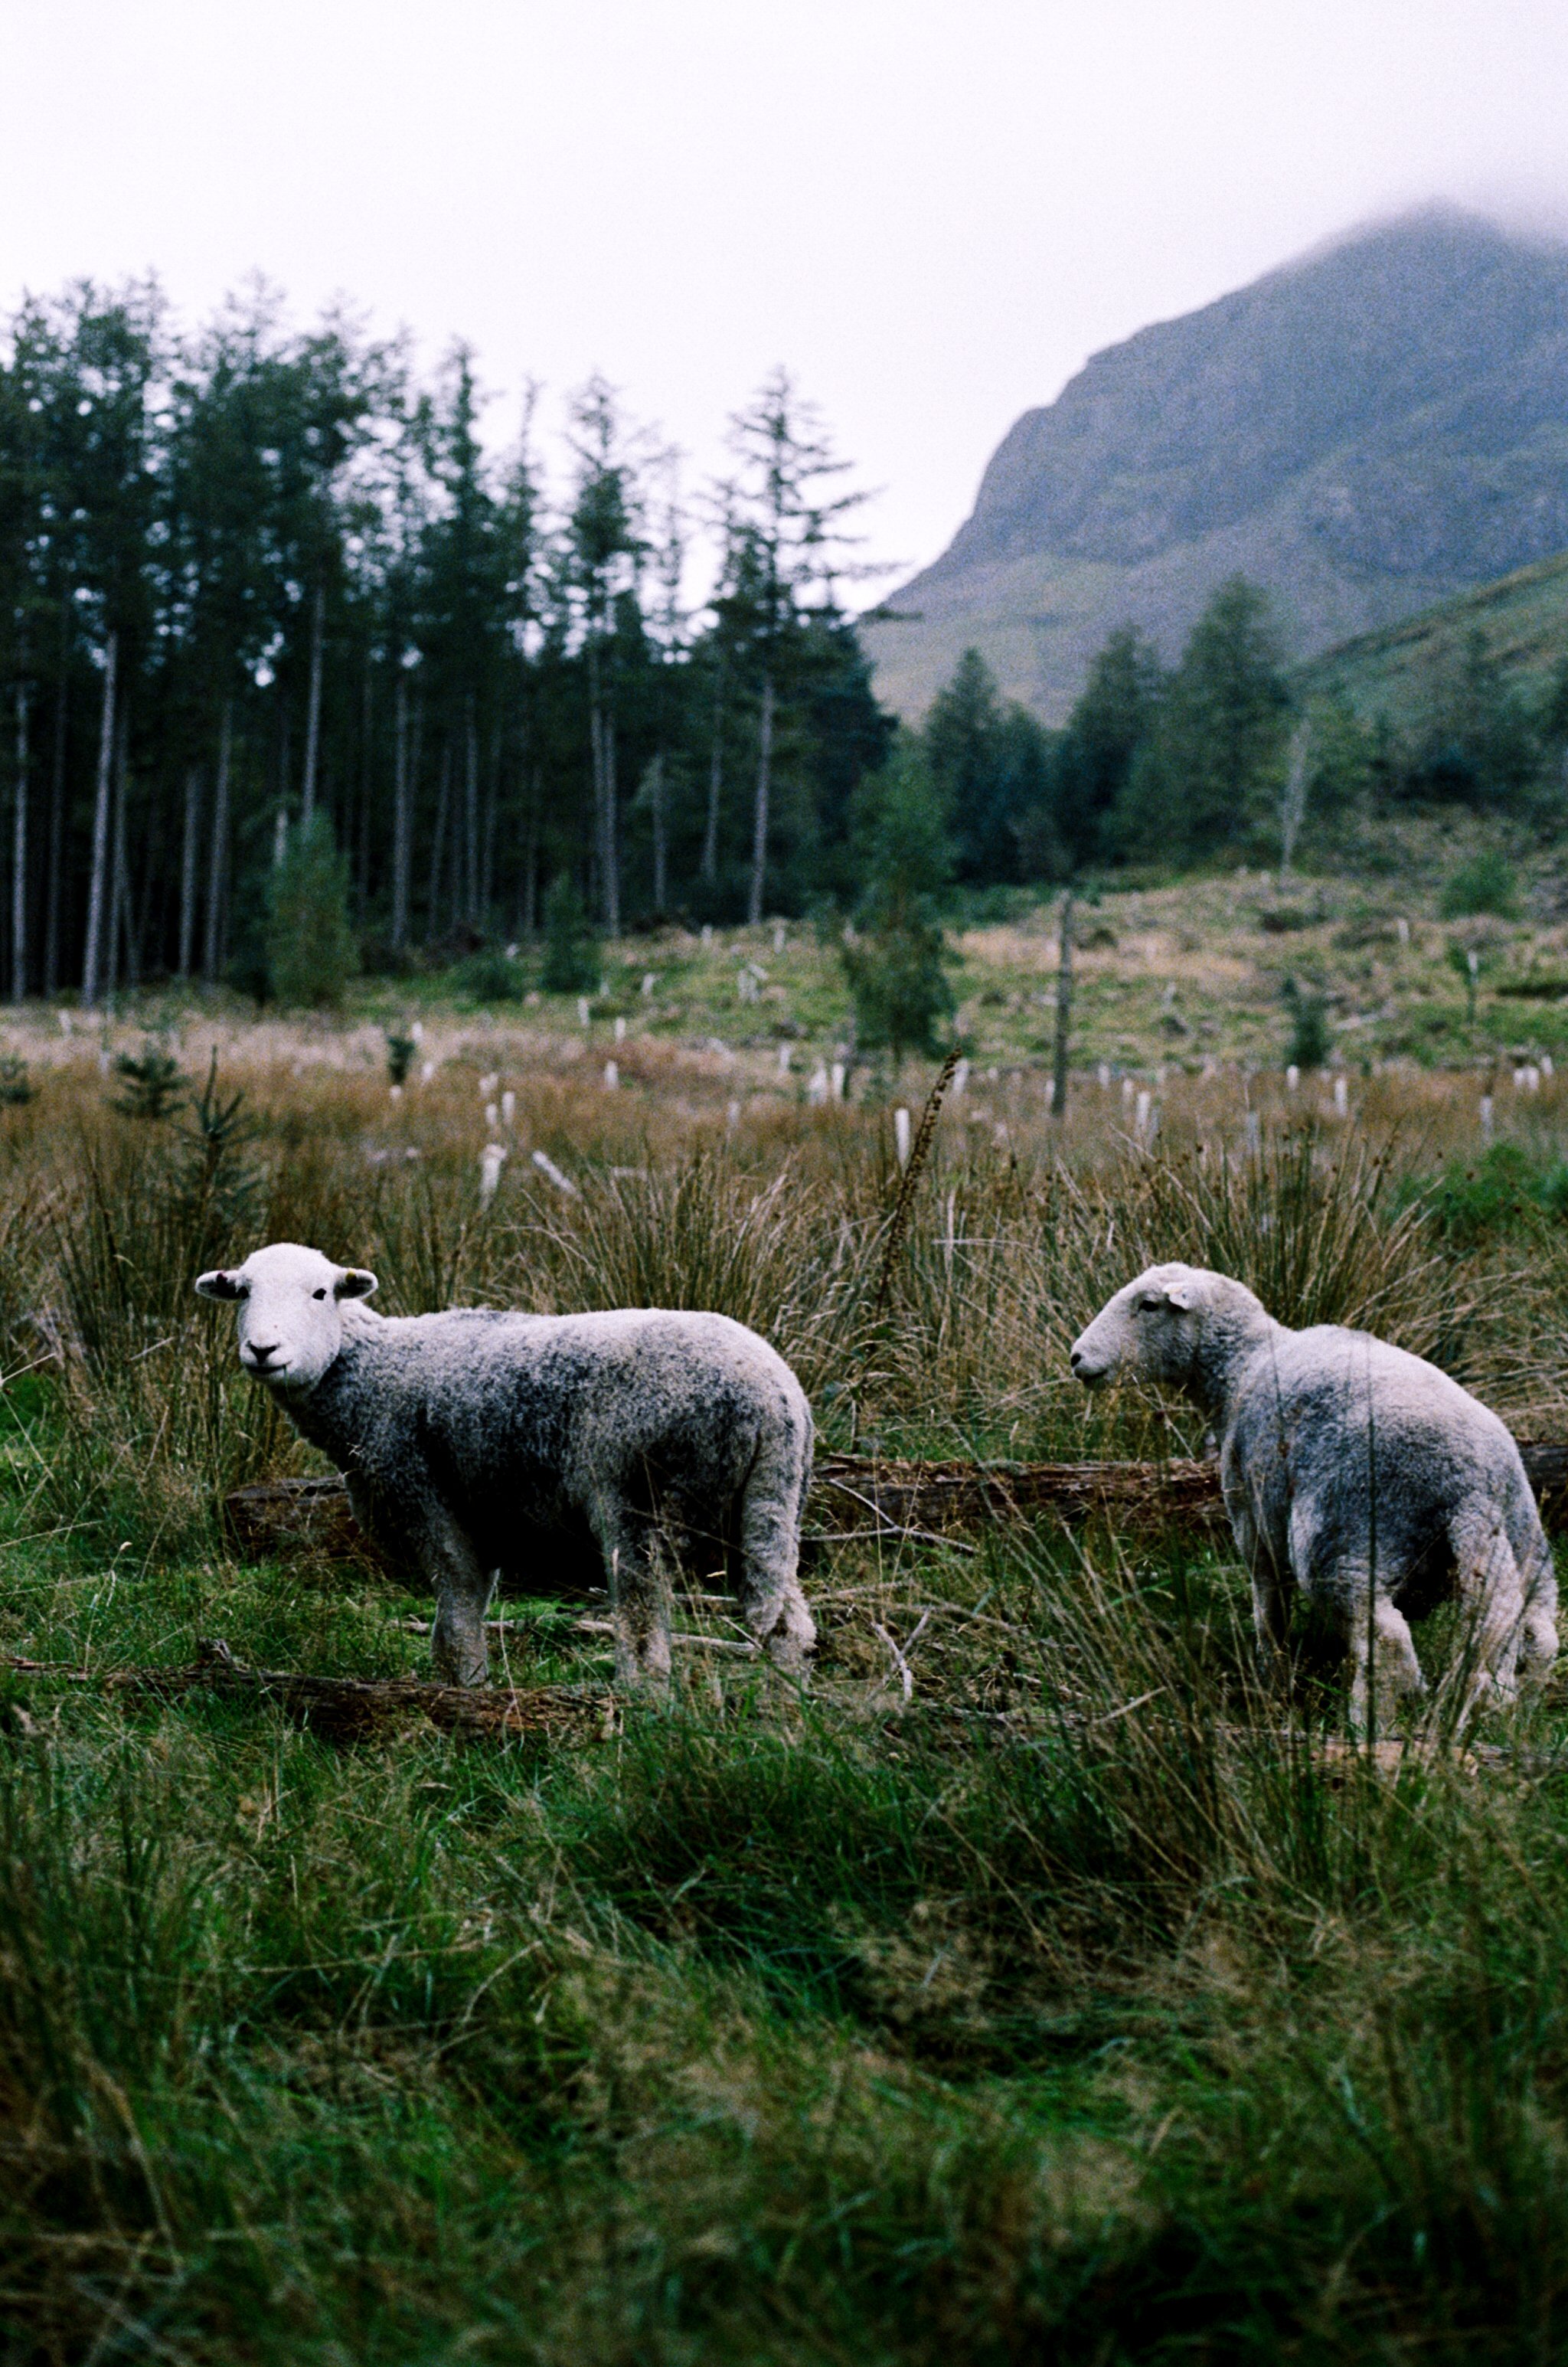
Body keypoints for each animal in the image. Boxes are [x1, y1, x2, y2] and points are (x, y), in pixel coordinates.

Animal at [190, 1250, 813, 1695]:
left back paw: (639, 1709)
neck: (373, 1373)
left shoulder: (426, 1498)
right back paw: (783, 1719)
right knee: (785, 1623)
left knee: (643, 1631)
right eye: (241, 1291)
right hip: (770, 1504)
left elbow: (456, 1618)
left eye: (321, 1293)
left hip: (643, 1497)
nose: (262, 1349)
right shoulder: (480, 1514)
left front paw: (464, 1696)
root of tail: (772, 1394)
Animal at [1069, 1259, 1560, 1741]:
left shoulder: (1252, 1517)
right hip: (1523, 1538)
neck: (1242, 1367)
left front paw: (1273, 1682)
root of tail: (1471, 1484)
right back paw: (1508, 1720)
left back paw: (1367, 1727)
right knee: (1537, 1637)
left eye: (1148, 1305)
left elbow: (1268, 1607)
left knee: (1388, 1642)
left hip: (1344, 1537)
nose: (1077, 1358)